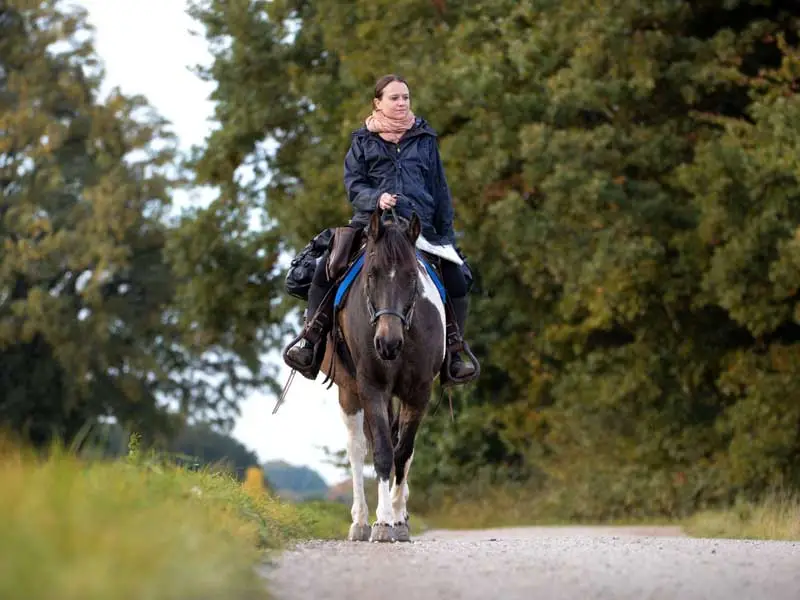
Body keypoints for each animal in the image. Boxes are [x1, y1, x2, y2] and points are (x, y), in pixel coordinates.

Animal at [320, 208, 446, 543]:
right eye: (372, 274)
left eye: (412, 276)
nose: (387, 344)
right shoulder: (372, 388)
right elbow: (383, 453)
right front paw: (383, 523)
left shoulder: (418, 391)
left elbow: (403, 452)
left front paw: (398, 519)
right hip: (349, 390)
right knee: (357, 449)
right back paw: (361, 522)